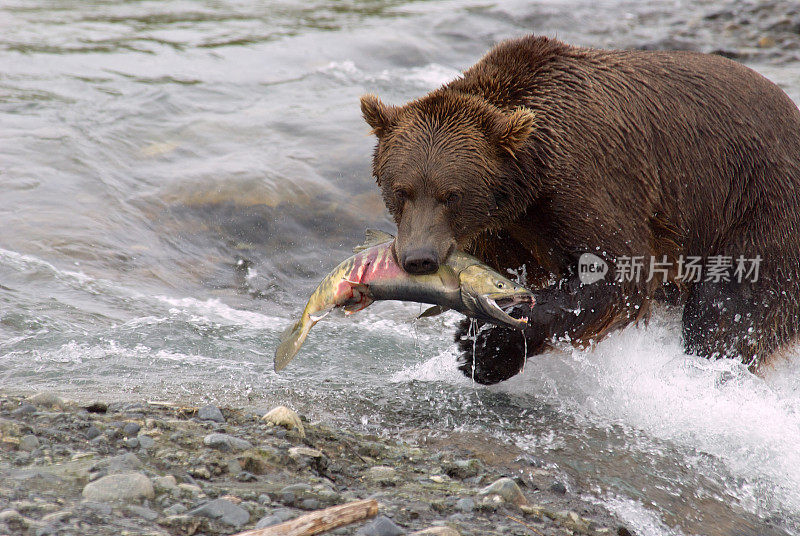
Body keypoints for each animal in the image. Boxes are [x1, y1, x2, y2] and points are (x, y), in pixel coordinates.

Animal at [360, 34, 800, 386]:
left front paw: (484, 347)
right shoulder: (506, 230)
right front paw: (479, 340)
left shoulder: (588, 180)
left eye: (451, 194)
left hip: (757, 207)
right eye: (402, 190)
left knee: (730, 308)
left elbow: (615, 273)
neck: (527, 184)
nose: (418, 257)